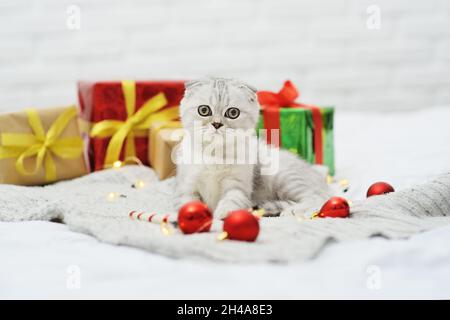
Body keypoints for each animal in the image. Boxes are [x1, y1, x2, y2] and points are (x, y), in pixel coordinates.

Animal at [175, 77, 330, 219]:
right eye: (204, 110)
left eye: (233, 113)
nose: (217, 124)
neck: (214, 153)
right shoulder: (188, 187)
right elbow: (189, 203)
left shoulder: (238, 187)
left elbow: (232, 200)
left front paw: (223, 214)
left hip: (284, 177)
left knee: (317, 198)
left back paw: (293, 211)